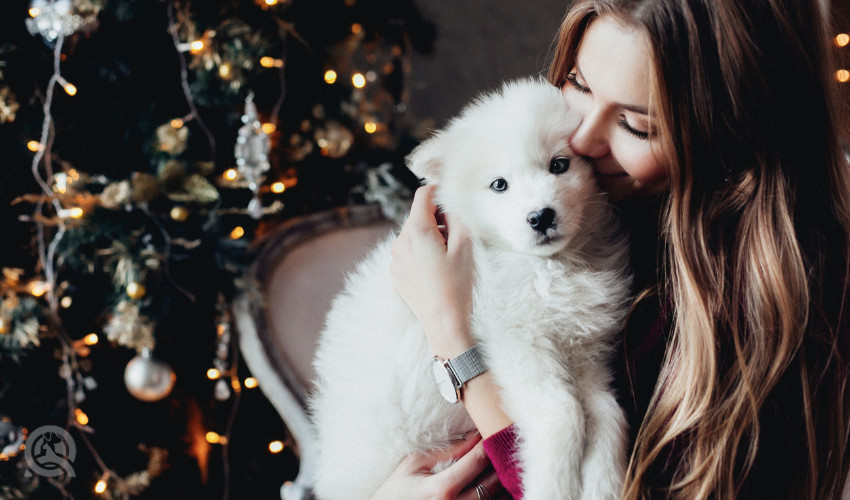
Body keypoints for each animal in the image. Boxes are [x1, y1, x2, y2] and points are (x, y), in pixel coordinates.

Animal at [310, 77, 628, 500]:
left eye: (560, 165)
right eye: (499, 185)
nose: (541, 217)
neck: (546, 266)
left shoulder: (583, 353)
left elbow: (608, 414)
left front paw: (604, 485)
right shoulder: (515, 345)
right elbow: (564, 413)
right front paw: (553, 485)